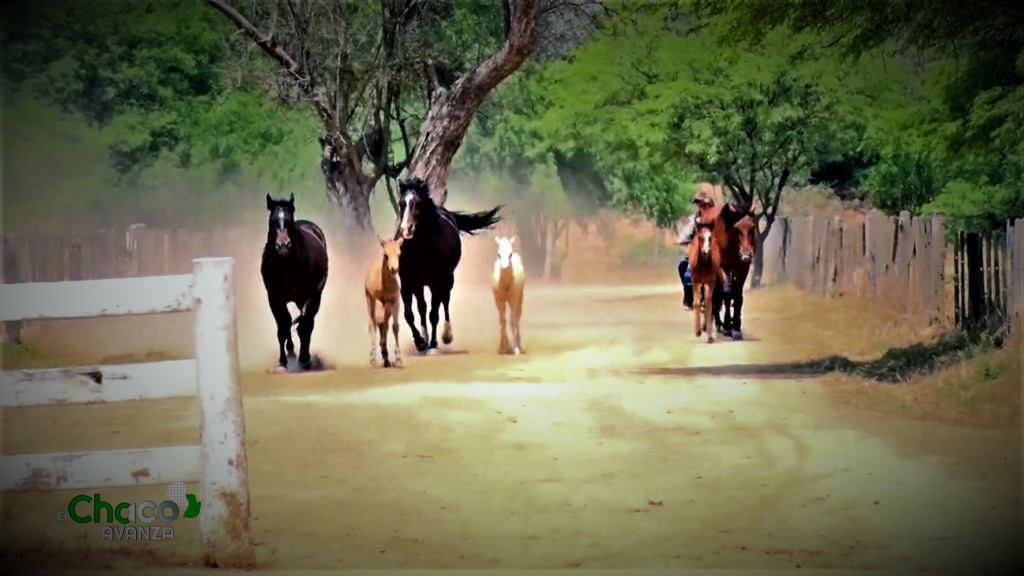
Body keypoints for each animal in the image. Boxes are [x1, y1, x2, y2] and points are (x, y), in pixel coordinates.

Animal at [261, 193, 329, 370]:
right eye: (272, 220)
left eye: (289, 219)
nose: (283, 246)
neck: (287, 266)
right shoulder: (274, 297)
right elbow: (283, 327)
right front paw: (282, 361)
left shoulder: (311, 295)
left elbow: (304, 326)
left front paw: (305, 358)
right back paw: (291, 351)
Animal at [364, 237, 404, 368]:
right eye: (386, 255)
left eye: (399, 253)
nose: (394, 269)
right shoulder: (377, 300)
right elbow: (378, 323)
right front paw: (377, 358)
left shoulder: (395, 301)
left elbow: (394, 327)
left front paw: (398, 359)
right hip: (370, 302)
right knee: (373, 324)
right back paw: (374, 358)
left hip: (387, 307)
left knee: (384, 324)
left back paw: (386, 358)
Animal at [394, 177, 502, 353]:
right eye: (401, 203)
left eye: (418, 203)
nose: (406, 229)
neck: (421, 249)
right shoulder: (407, 283)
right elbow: (409, 314)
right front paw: (420, 341)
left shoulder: (437, 282)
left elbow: (434, 314)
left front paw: (433, 344)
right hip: (419, 285)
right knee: (422, 307)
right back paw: (424, 337)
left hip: (447, 279)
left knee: (444, 302)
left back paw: (445, 335)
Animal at [709, 203, 758, 340]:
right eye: (736, 229)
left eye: (752, 227)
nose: (746, 255)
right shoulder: (721, 267)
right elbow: (726, 294)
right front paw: (727, 324)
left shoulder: (742, 268)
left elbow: (737, 296)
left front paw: (736, 327)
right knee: (716, 294)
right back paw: (718, 323)